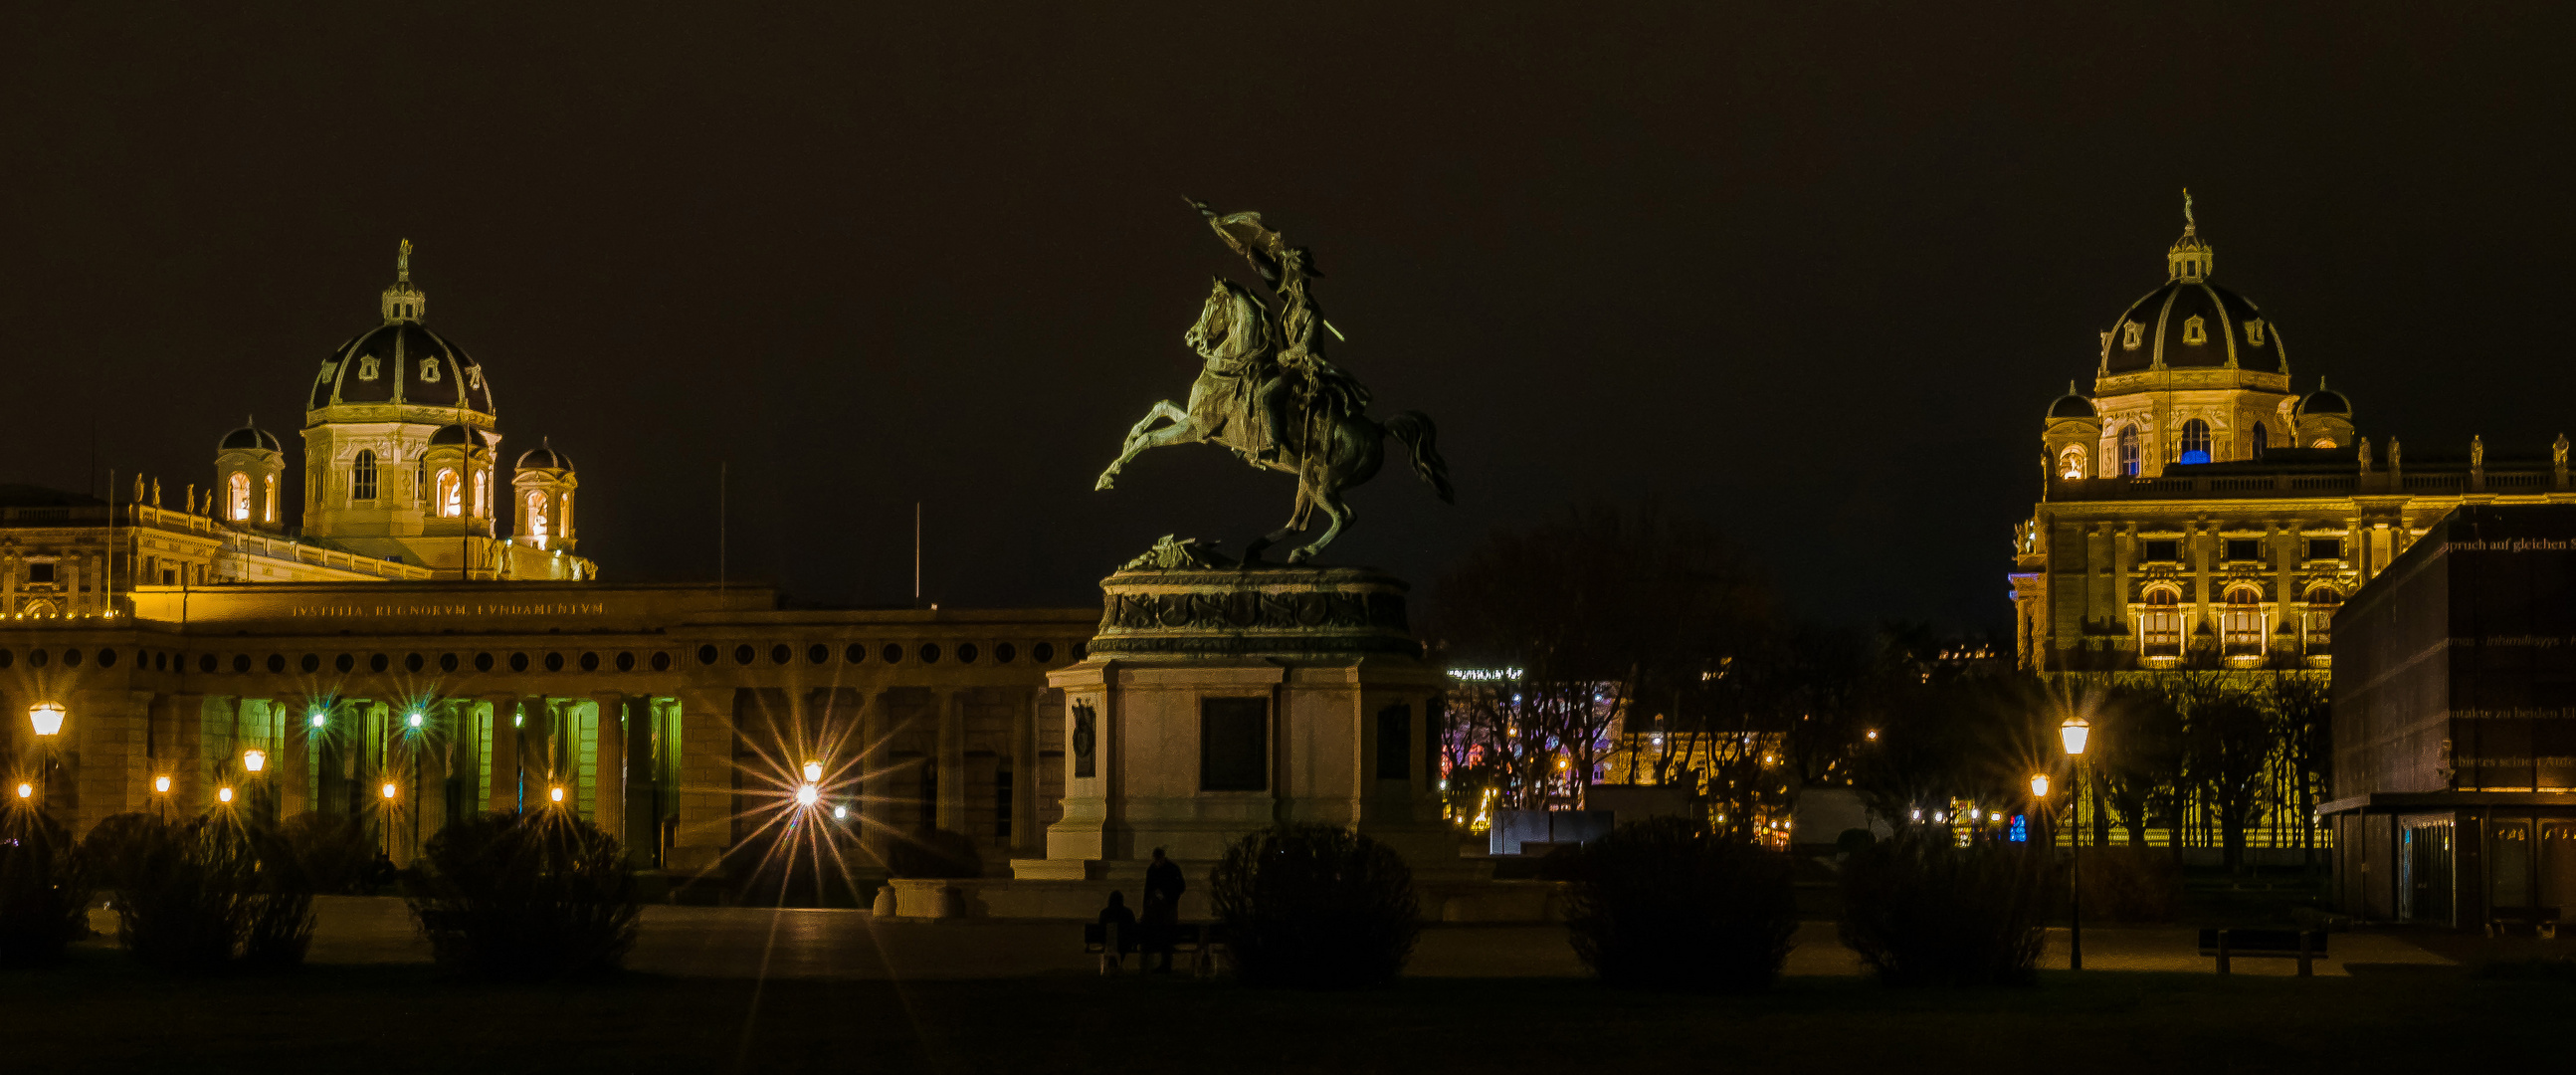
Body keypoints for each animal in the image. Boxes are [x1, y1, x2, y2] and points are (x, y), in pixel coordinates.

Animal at [1087, 276, 1453, 561]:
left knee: (1344, 517)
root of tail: (1376, 430)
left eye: (1213, 303)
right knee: (1299, 521)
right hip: (1308, 480)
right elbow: (1159, 407)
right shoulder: (1198, 422)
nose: (1192, 338)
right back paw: (1255, 550)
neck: (1231, 366)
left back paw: (1302, 552)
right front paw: (1125, 443)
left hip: (1323, 482)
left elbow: (1149, 439)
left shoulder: (1196, 427)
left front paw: (1109, 475)